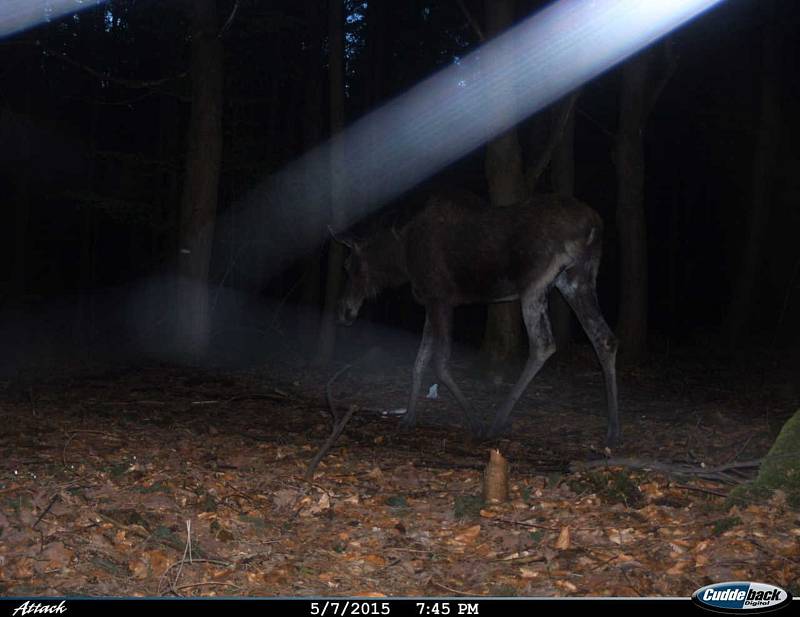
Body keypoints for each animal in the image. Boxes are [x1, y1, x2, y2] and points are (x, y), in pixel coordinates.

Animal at [332, 190, 620, 446]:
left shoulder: (441, 299)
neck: (402, 260)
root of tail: (594, 224)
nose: (344, 312)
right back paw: (612, 431)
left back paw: (496, 422)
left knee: (543, 344)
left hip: (535, 285)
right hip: (577, 278)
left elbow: (439, 362)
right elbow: (419, 360)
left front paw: (475, 422)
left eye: (347, 265)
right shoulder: (431, 303)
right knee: (604, 338)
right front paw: (409, 417)